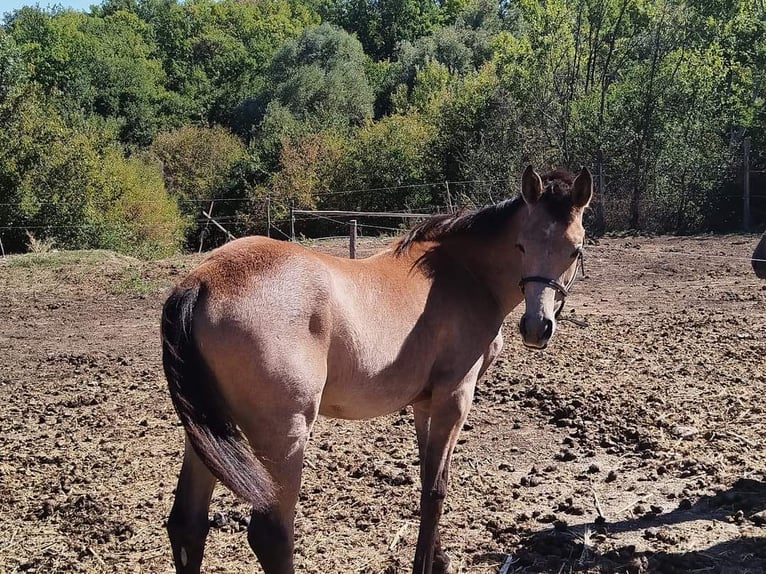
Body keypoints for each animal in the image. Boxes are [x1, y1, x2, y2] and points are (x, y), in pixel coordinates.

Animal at [160, 166, 592, 574]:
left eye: (574, 250)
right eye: (521, 245)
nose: (536, 328)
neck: (462, 274)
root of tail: (202, 279)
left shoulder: (424, 403)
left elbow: (426, 480)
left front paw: (439, 559)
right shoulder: (455, 397)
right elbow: (436, 491)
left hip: (209, 430)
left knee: (187, 525)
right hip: (284, 436)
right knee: (270, 536)